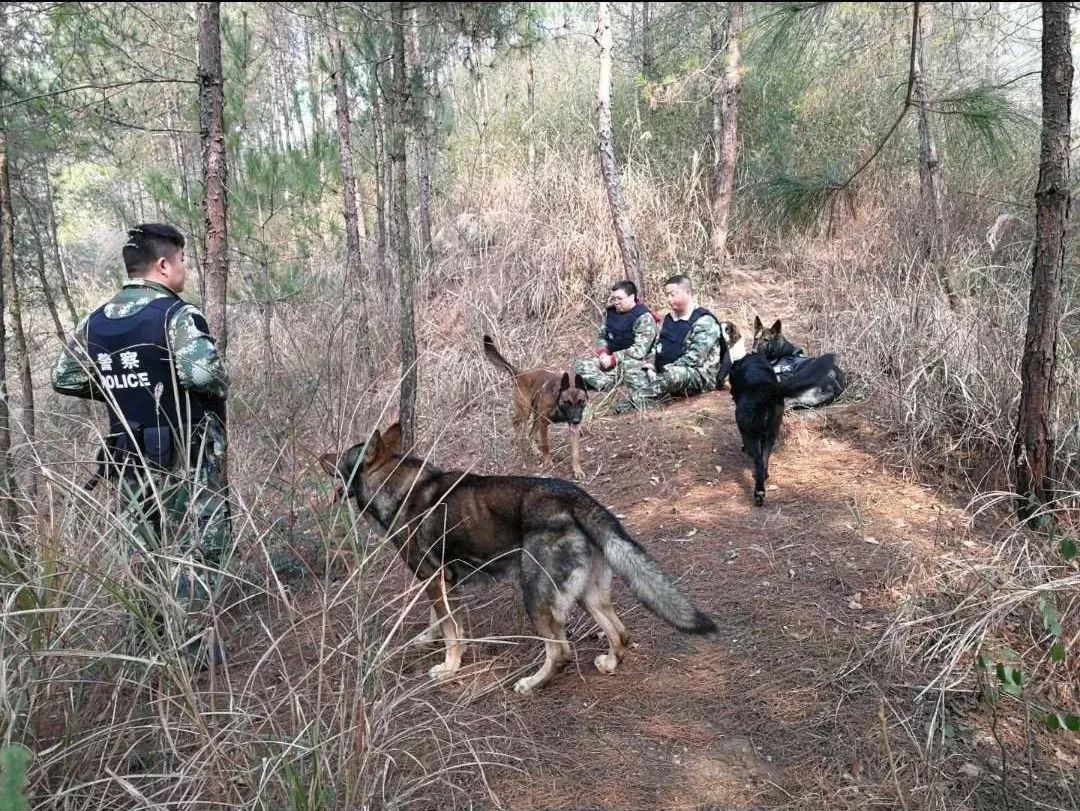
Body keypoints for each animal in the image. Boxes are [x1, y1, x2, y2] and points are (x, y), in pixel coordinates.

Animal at [319, 421, 717, 695]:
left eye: (343, 458)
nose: (320, 456)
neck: (396, 485)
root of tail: (575, 498)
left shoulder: (433, 579)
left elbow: (451, 631)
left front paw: (449, 667)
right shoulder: (443, 581)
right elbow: (442, 620)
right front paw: (429, 640)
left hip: (536, 595)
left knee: (561, 652)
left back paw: (532, 682)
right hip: (590, 596)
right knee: (619, 633)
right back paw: (608, 662)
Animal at [483, 336, 587, 481]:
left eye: (581, 402)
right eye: (567, 403)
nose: (577, 420)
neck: (558, 402)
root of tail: (520, 374)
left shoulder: (572, 428)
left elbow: (575, 452)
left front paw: (577, 469)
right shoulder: (544, 423)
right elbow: (545, 445)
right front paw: (547, 461)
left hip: (536, 417)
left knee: (530, 434)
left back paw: (534, 449)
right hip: (525, 412)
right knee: (515, 421)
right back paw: (519, 440)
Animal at [730, 352, 838, 505]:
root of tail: (765, 389)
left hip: (749, 430)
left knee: (759, 461)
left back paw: (759, 493)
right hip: (772, 430)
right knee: (764, 458)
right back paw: (764, 477)